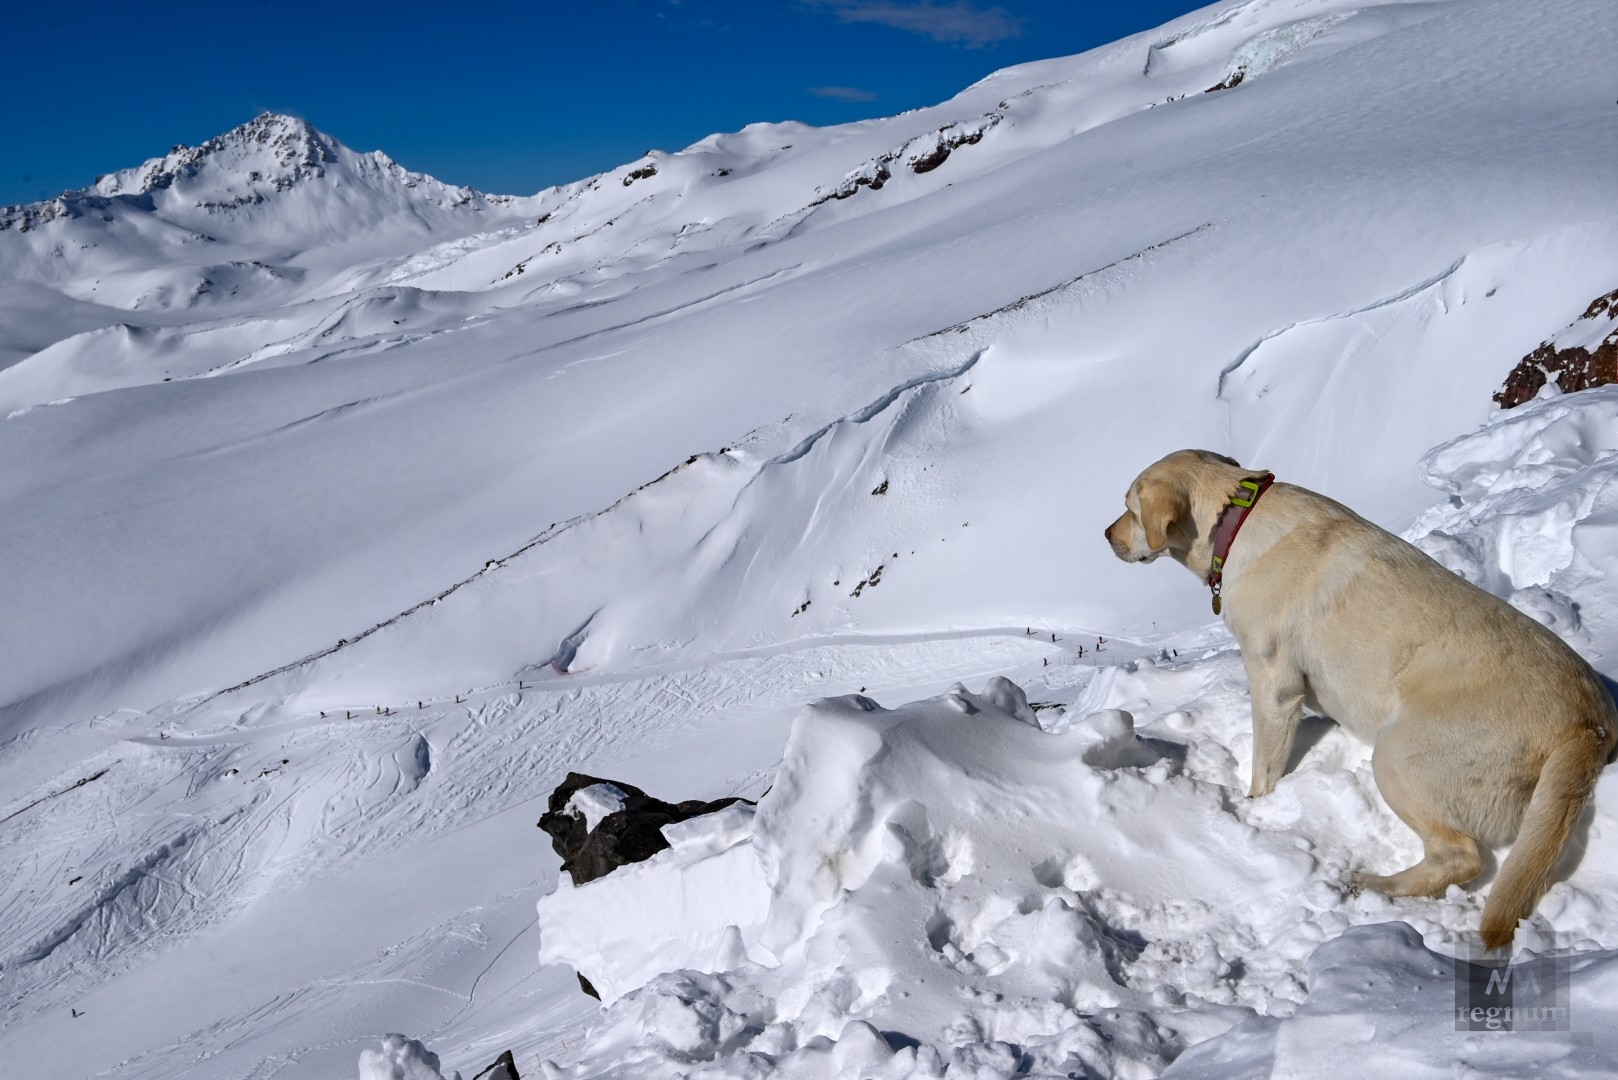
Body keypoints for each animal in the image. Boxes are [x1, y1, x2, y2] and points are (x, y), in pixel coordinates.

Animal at [1106, 446, 1611, 945]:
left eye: (1129, 507)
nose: (1107, 535)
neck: (1236, 515)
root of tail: (1590, 724)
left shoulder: (1273, 684)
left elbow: (1264, 769)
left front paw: (1255, 809)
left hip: (1399, 756)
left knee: (1462, 857)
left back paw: (1371, 884)